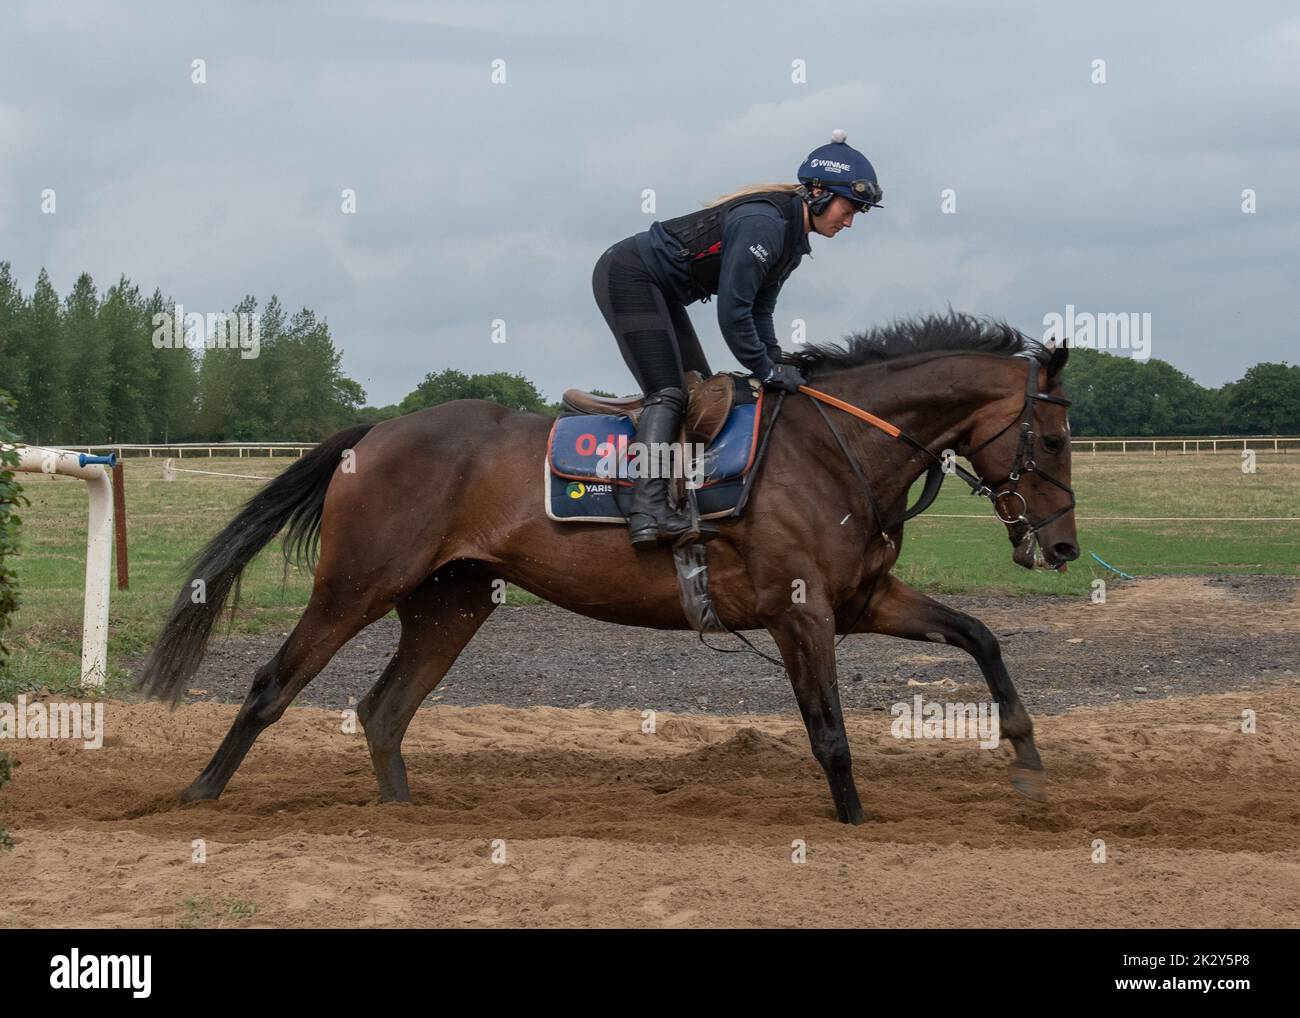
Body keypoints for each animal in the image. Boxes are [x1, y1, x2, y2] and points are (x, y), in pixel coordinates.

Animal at [139, 308, 1076, 821]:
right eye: (1056, 435)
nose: (1063, 545)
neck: (832, 448)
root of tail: (372, 434)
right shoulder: (802, 612)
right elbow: (831, 735)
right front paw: (856, 826)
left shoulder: (864, 598)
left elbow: (981, 636)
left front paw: (1029, 760)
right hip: (356, 586)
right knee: (274, 684)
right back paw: (196, 798)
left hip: (452, 602)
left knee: (383, 710)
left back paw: (400, 818)